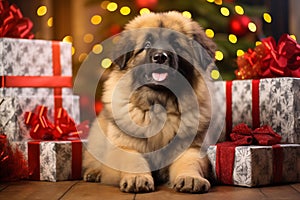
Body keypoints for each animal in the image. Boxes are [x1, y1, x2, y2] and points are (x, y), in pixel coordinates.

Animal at [83, 10, 217, 193]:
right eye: (147, 44)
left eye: (176, 45)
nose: (160, 57)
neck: (158, 105)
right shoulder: (124, 147)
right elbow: (134, 161)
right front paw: (137, 178)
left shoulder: (192, 147)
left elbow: (189, 163)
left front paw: (190, 178)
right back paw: (94, 172)